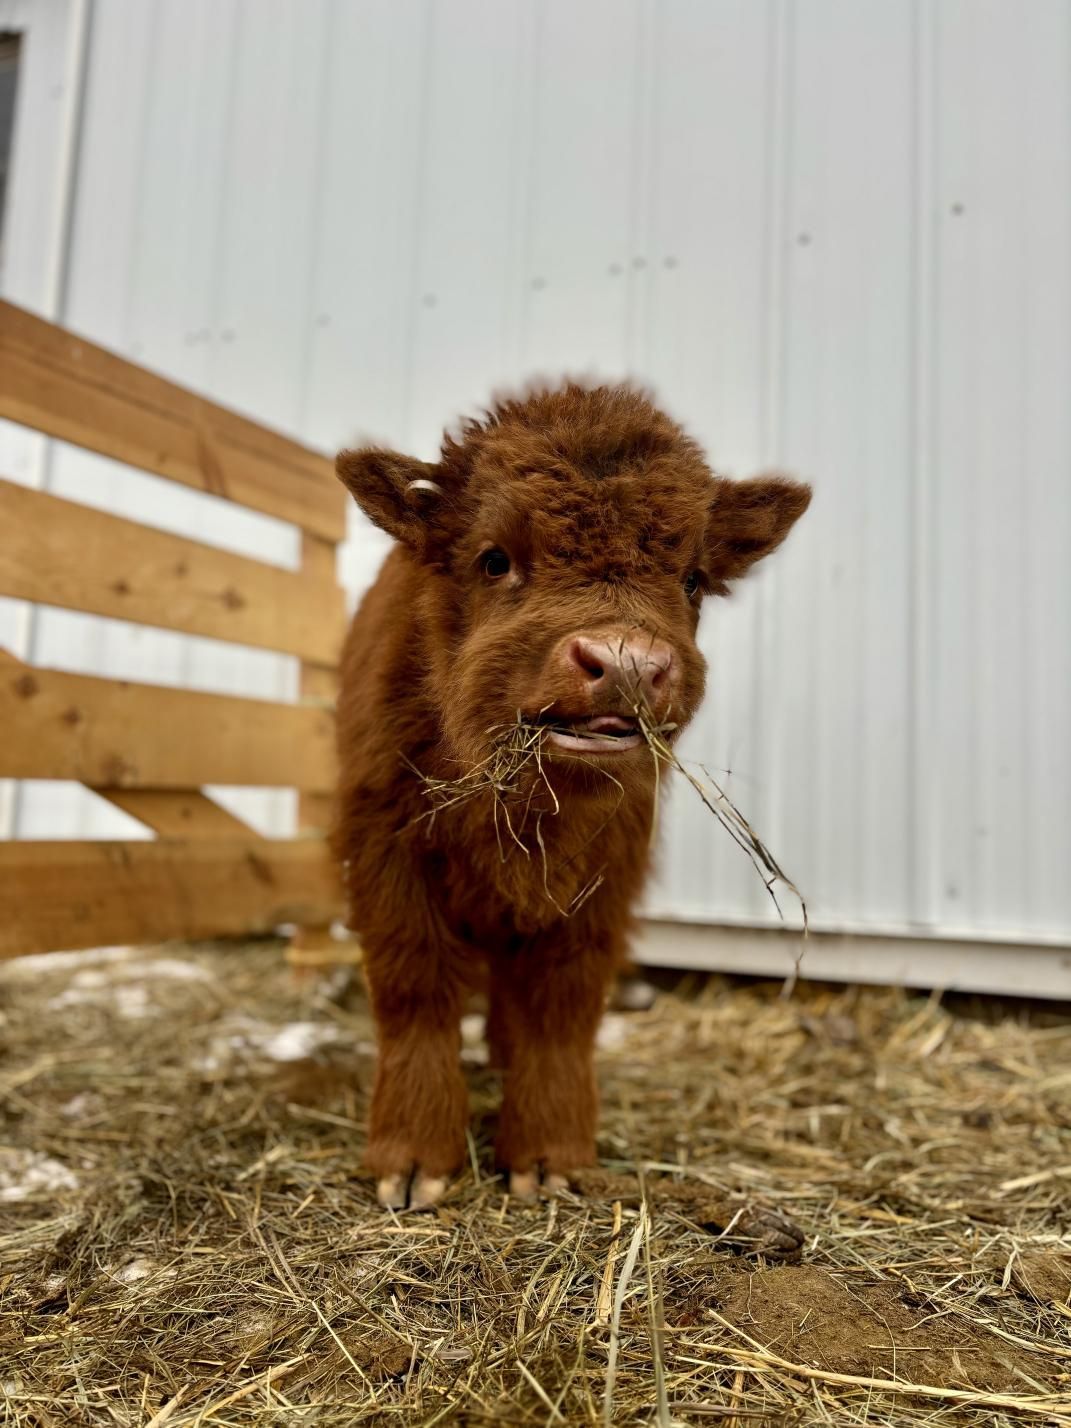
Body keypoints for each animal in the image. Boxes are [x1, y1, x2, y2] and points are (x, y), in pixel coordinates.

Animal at [333, 382, 810, 1209]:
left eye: (690, 578)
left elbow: (561, 1005)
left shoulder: (603, 880)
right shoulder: (387, 853)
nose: (624, 664)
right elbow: (414, 990)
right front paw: (413, 1163)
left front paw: (549, 1158)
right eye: (494, 558)